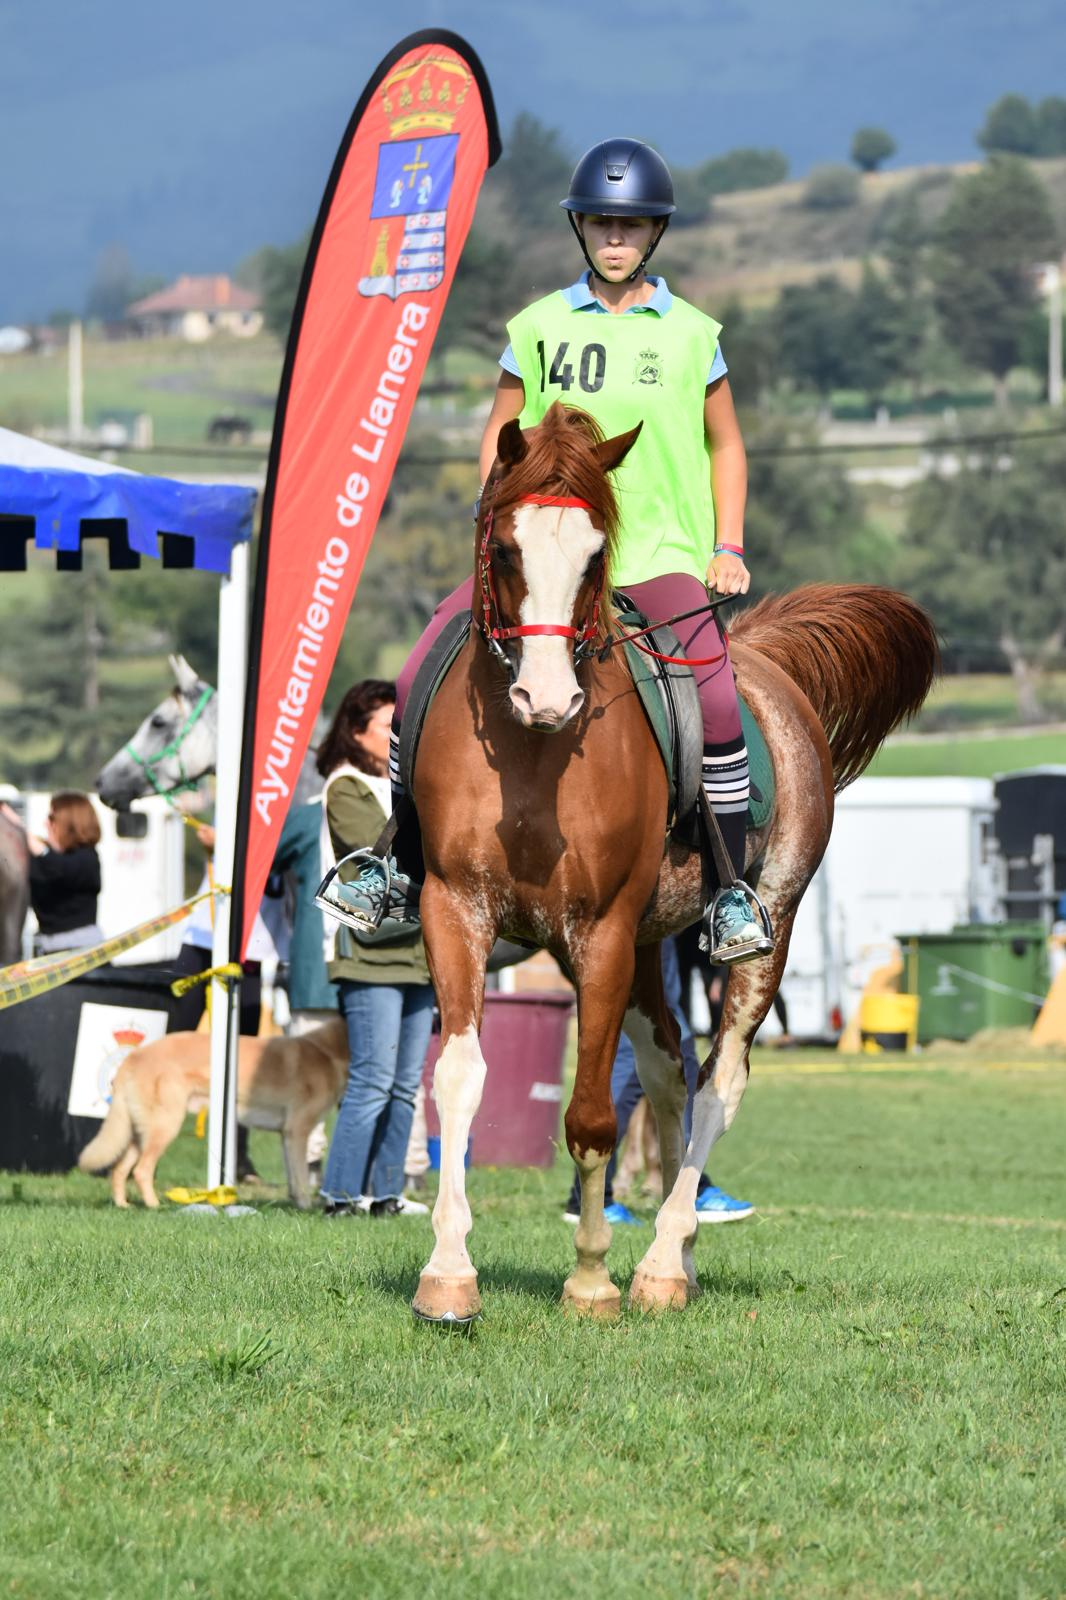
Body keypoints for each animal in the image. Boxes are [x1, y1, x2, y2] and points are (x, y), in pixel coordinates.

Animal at [78, 1017, 344, 1203]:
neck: (328, 1053)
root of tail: (133, 1057)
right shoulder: (297, 1132)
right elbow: (301, 1177)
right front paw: (306, 1206)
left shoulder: (286, 1135)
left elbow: (292, 1176)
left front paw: (296, 1202)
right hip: (165, 1126)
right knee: (142, 1170)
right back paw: (155, 1206)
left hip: (139, 1130)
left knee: (119, 1170)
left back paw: (124, 1205)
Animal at [406, 403, 928, 1324]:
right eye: (504, 550)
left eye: (593, 556)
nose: (548, 699)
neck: (534, 755)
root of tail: (758, 655)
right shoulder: (455, 908)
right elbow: (461, 1079)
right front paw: (448, 1273)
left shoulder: (603, 931)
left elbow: (589, 1116)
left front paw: (590, 1280)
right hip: (650, 946)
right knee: (667, 1072)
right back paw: (673, 1252)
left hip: (764, 925)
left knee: (720, 1080)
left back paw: (657, 1263)